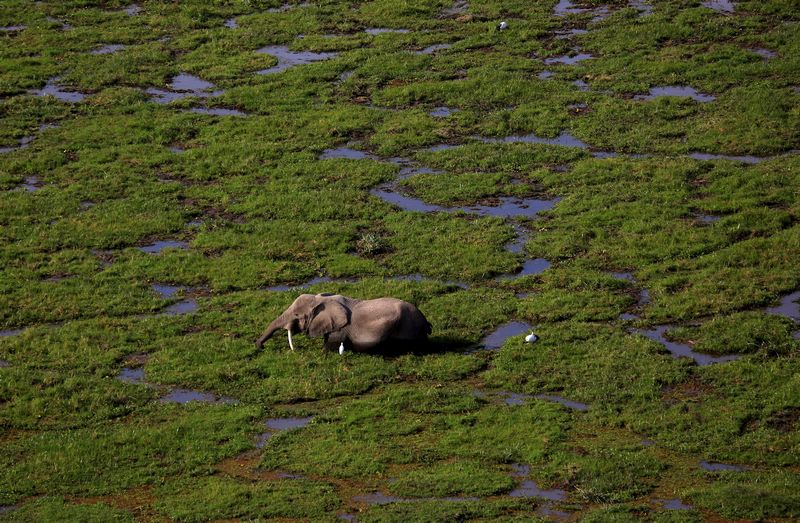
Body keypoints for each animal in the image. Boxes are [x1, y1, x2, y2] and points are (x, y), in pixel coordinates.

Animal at [255, 293, 432, 353]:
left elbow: (330, 346)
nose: (260, 346)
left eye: (297, 315)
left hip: (406, 328)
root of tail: (425, 321)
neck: (322, 300)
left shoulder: (340, 328)